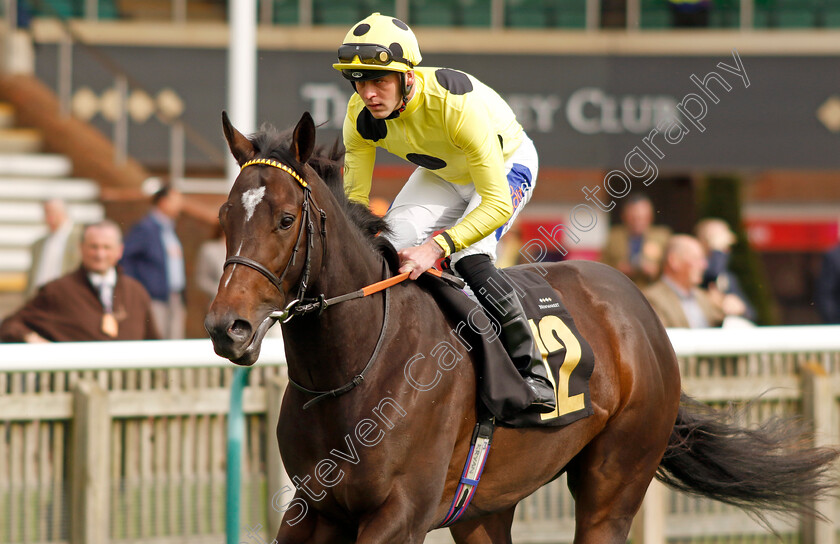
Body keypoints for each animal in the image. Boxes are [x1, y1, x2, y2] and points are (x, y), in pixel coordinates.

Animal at [205, 112, 840, 540]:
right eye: (224, 213)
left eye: (287, 218)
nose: (226, 327)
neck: (354, 367)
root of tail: (637, 307)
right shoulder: (312, 508)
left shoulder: (399, 514)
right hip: (485, 506)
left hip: (615, 480)